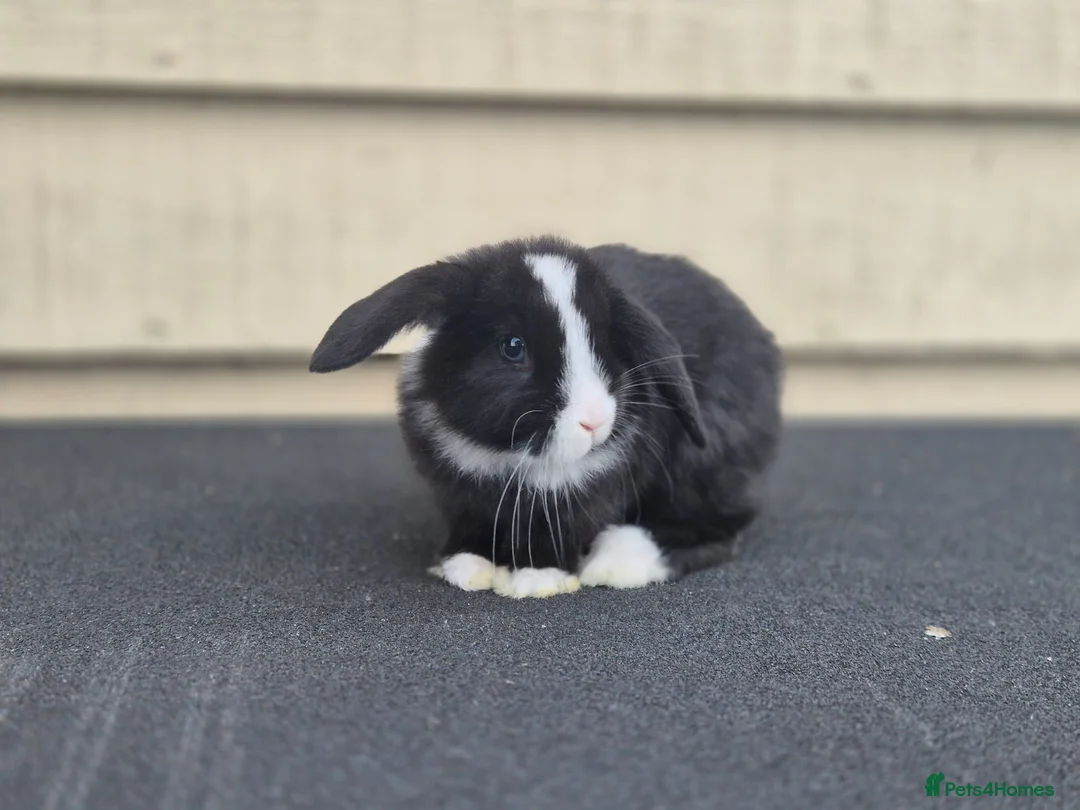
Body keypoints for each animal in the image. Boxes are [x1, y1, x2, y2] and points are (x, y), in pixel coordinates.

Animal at [309, 235, 783, 598]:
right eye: (512, 346)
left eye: (609, 345)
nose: (595, 421)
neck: (512, 453)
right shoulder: (459, 493)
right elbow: (471, 525)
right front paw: (467, 568)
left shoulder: (581, 495)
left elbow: (558, 533)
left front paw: (538, 580)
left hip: (700, 463)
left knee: (720, 527)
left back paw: (617, 563)